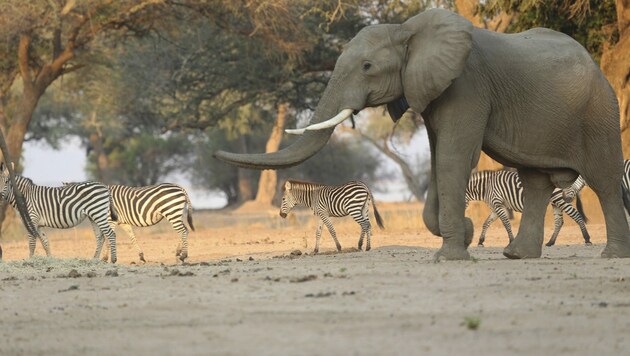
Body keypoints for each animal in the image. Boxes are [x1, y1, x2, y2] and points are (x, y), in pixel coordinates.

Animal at [216, 6, 630, 260]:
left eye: (367, 67)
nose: (214, 153)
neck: (408, 30)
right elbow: (437, 157)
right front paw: (463, 235)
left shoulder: (467, 83)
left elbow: (452, 156)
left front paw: (451, 256)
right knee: (535, 181)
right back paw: (517, 256)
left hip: (600, 109)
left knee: (605, 180)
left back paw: (611, 254)